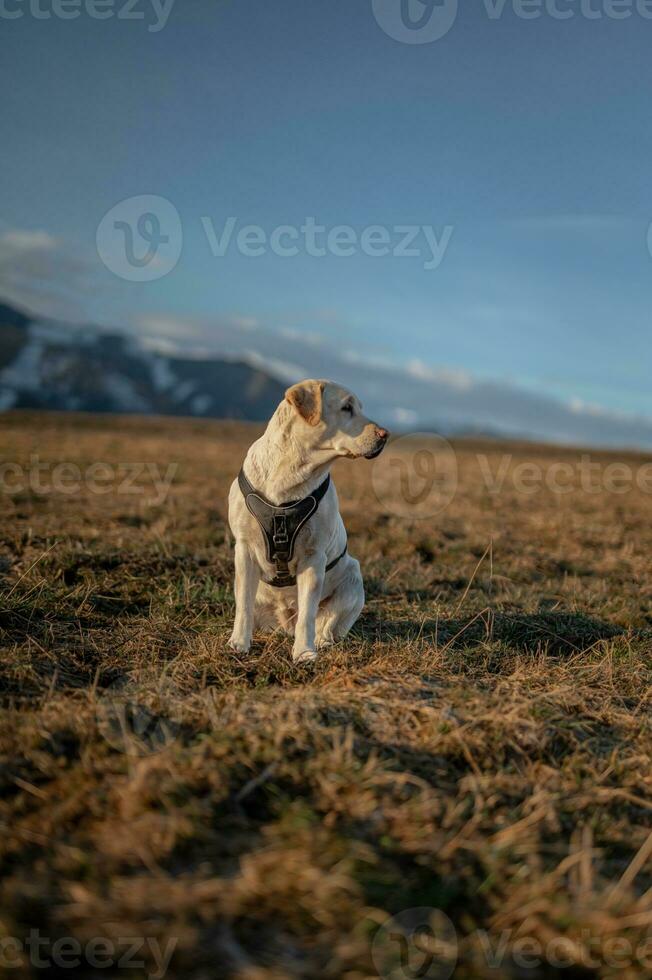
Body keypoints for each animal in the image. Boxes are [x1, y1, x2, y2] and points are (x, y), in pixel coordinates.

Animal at [228, 378, 388, 664]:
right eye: (347, 407)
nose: (385, 434)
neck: (290, 471)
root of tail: (284, 625)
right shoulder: (244, 549)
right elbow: (243, 604)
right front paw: (239, 644)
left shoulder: (313, 557)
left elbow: (308, 614)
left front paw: (304, 652)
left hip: (353, 577)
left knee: (327, 624)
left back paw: (322, 641)